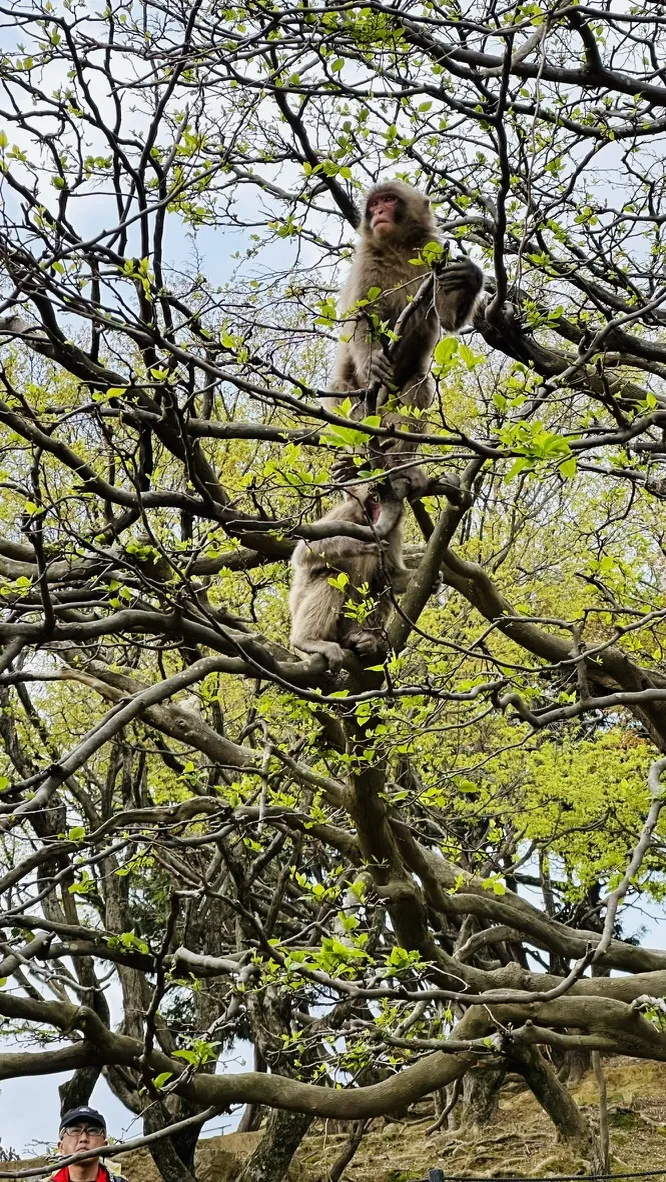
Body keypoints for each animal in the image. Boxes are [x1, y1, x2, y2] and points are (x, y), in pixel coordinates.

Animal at [289, 479, 410, 672]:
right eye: (373, 498)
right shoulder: (344, 515)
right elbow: (304, 551)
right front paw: (357, 545)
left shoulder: (392, 532)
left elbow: (388, 577)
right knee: (331, 577)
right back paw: (307, 640)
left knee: (379, 587)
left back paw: (362, 640)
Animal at [328, 180, 484, 496]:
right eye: (374, 204)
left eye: (389, 200)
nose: (378, 212)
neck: (398, 246)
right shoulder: (367, 261)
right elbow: (361, 318)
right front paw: (373, 362)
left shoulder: (434, 253)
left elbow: (447, 319)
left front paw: (470, 276)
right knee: (343, 391)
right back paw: (356, 465)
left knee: (418, 385)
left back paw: (399, 466)